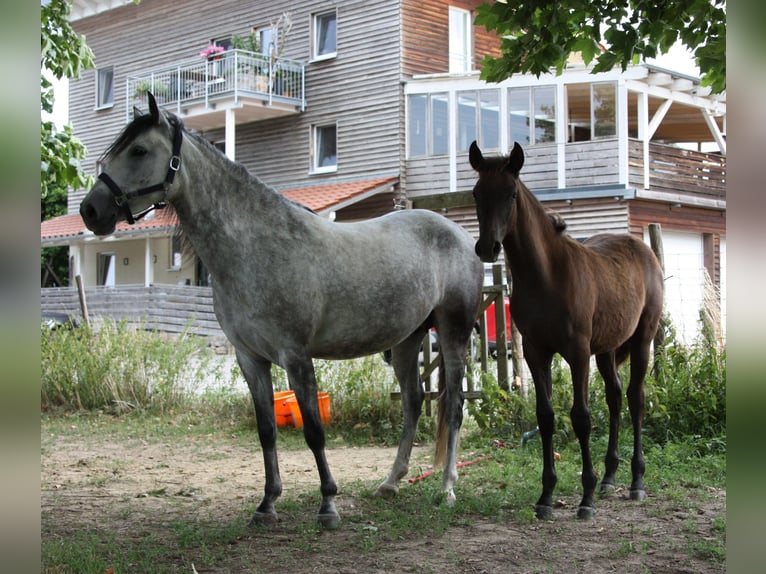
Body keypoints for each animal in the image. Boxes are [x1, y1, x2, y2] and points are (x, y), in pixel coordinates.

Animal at [79, 93, 484, 528]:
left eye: (138, 150)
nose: (90, 211)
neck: (256, 247)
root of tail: (461, 236)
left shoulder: (296, 357)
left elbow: (314, 432)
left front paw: (327, 505)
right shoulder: (250, 359)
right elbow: (266, 431)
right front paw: (267, 503)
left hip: (453, 335)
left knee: (454, 406)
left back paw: (447, 488)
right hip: (408, 341)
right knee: (413, 402)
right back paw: (391, 483)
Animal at [468, 141, 664, 520]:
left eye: (512, 194)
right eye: (476, 193)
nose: (488, 248)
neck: (547, 275)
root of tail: (644, 249)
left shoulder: (577, 352)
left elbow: (581, 417)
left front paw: (585, 498)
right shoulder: (536, 351)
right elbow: (545, 418)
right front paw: (546, 496)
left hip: (642, 340)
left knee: (635, 398)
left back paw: (636, 482)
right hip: (606, 349)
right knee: (616, 396)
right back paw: (610, 477)